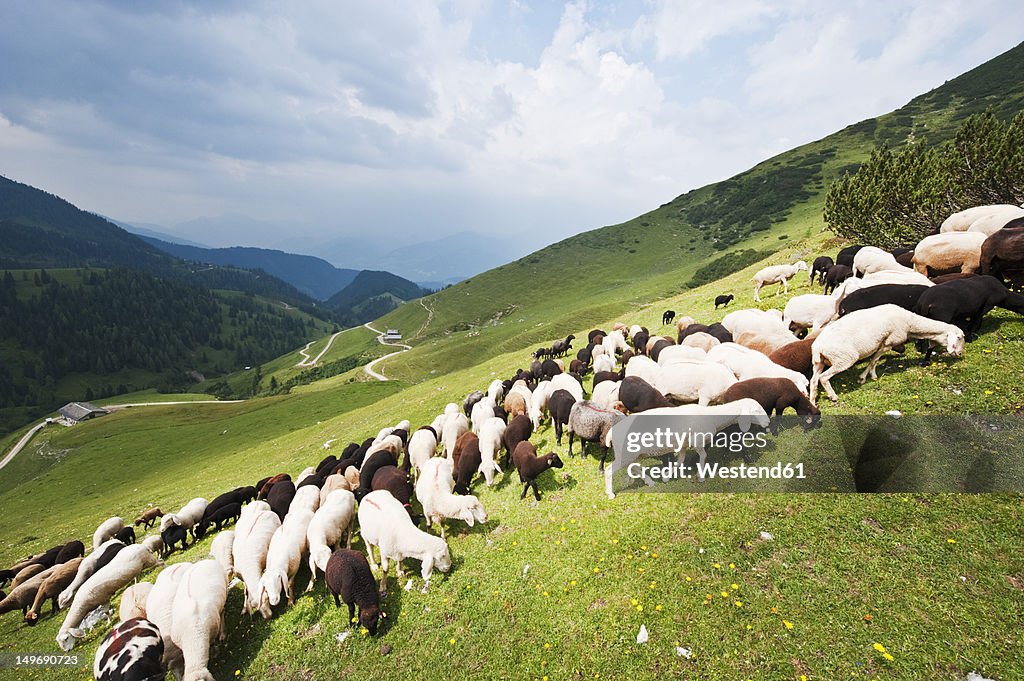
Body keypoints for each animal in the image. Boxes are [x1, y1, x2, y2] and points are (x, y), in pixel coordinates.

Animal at [806, 303, 966, 403]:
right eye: (959, 337)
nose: (959, 354)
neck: (910, 323)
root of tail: (818, 347)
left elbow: (874, 360)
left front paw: (868, 376)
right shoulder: (888, 342)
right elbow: (874, 359)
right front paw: (866, 377)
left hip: (819, 362)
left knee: (814, 380)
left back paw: (813, 402)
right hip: (844, 359)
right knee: (823, 378)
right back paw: (833, 396)